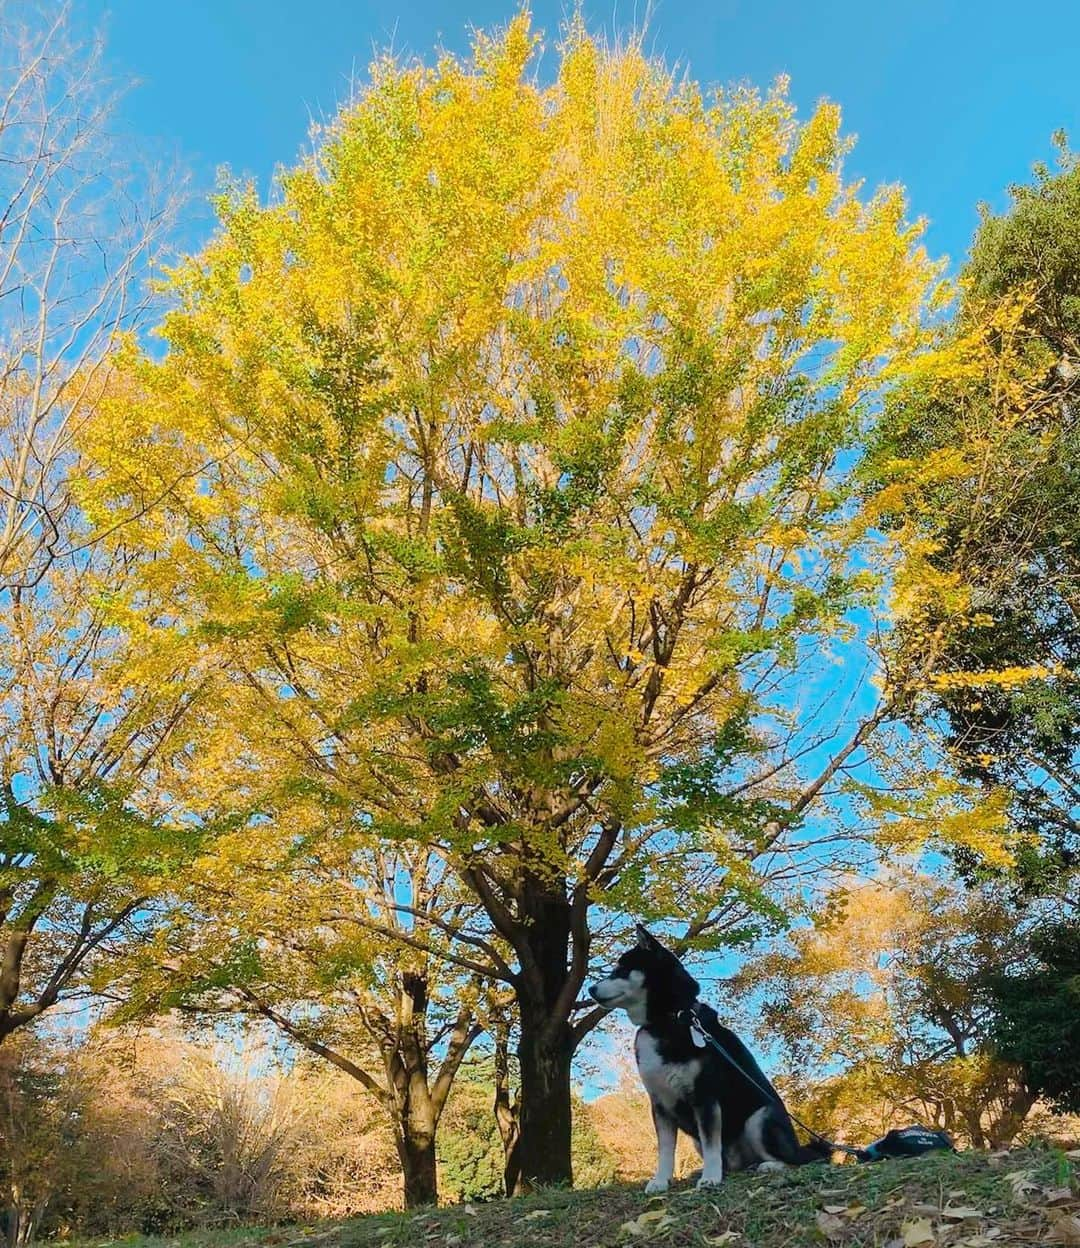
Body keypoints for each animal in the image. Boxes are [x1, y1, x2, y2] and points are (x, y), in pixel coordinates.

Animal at [589, 928, 824, 1188]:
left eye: (620, 970)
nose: (590, 990)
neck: (668, 1020)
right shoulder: (660, 1103)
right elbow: (665, 1150)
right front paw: (661, 1181)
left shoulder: (705, 1098)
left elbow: (712, 1144)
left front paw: (710, 1178)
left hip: (760, 1119)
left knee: (792, 1161)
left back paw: (768, 1166)